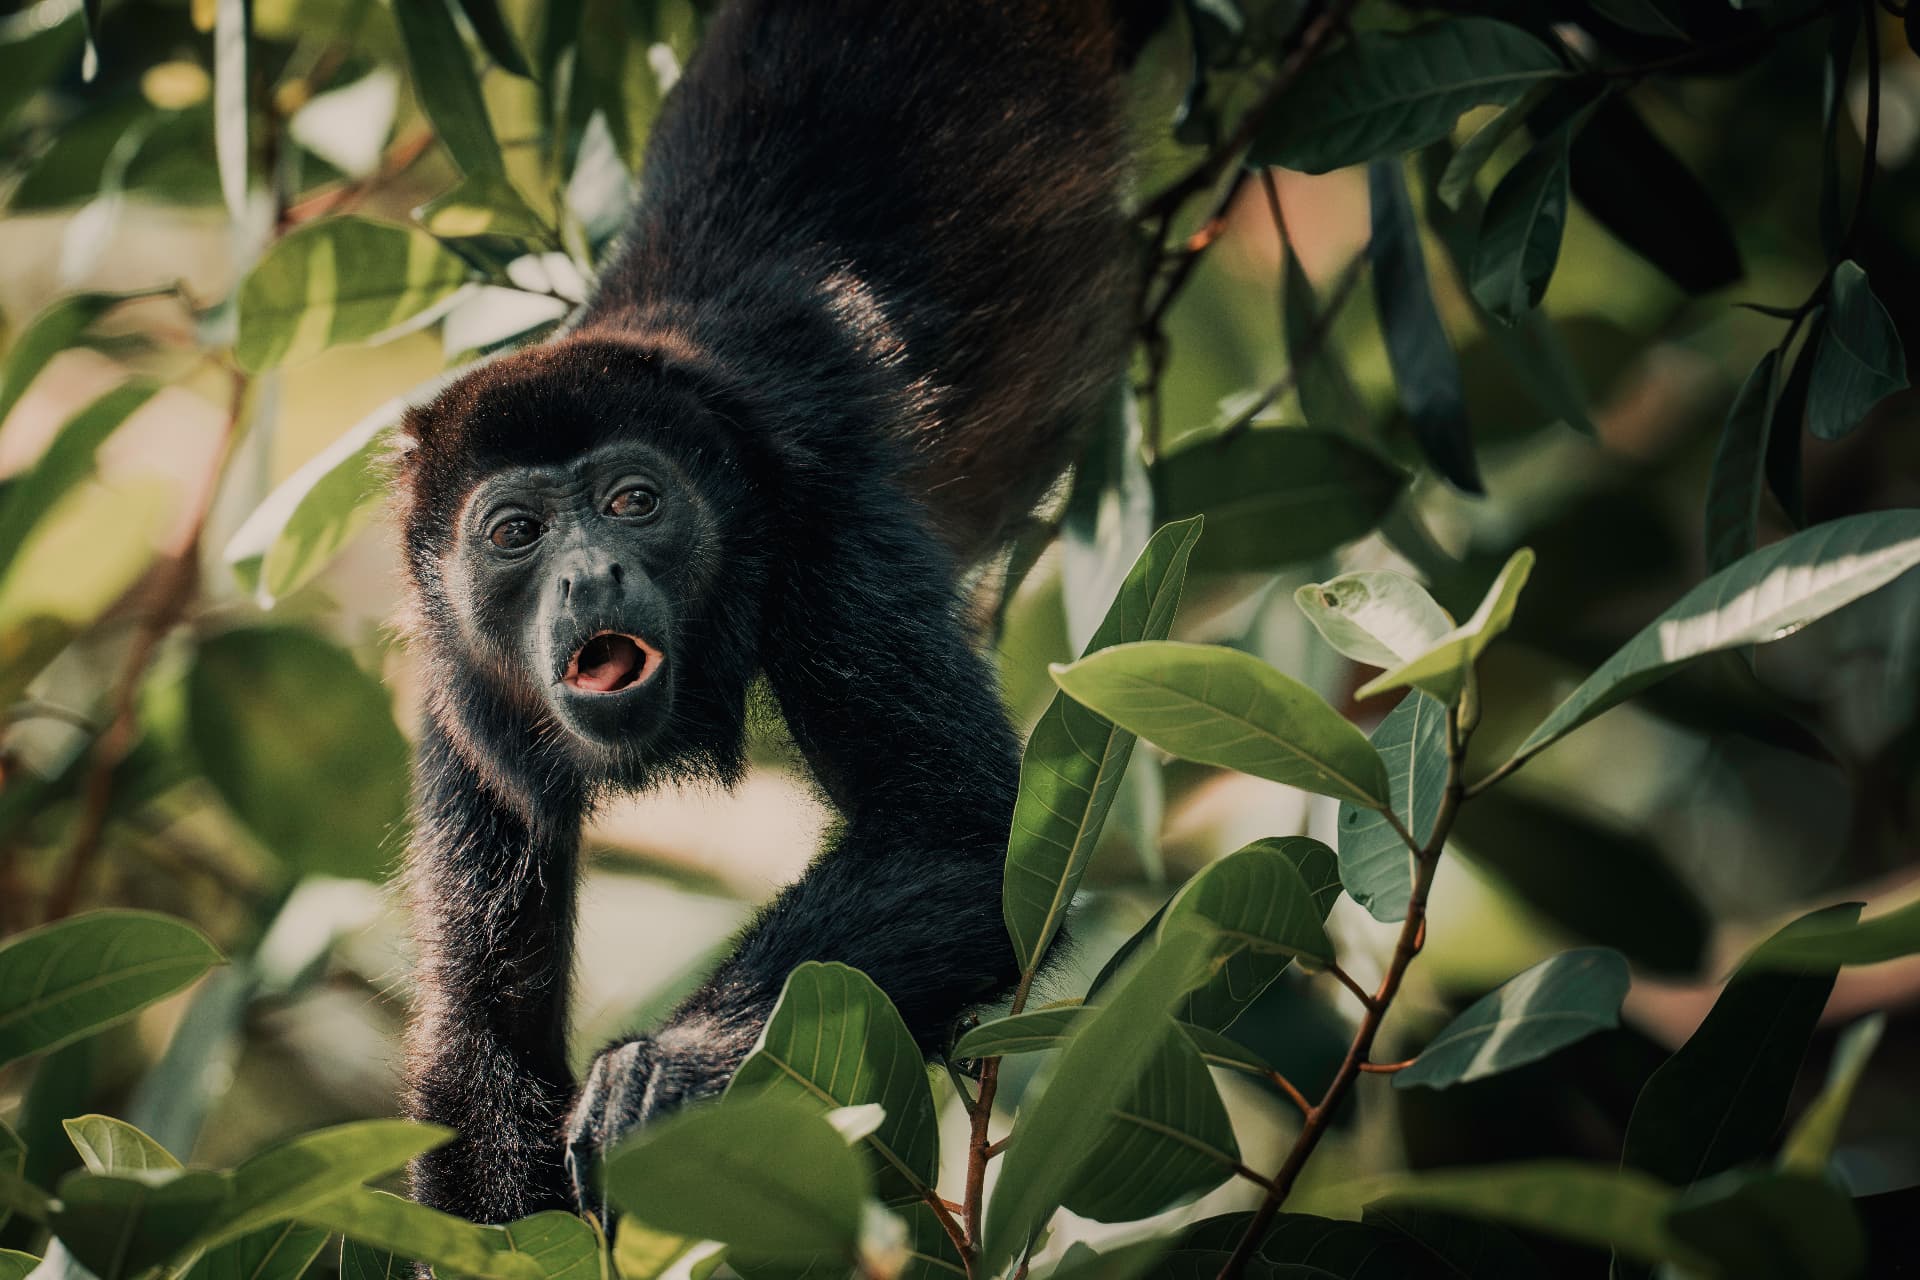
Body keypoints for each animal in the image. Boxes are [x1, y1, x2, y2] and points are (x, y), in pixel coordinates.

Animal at [394, 0, 1165, 1226]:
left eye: (633, 500)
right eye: (514, 531)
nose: (589, 575)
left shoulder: (825, 516)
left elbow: (966, 830)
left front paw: (668, 1065)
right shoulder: (453, 700)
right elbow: (481, 1033)